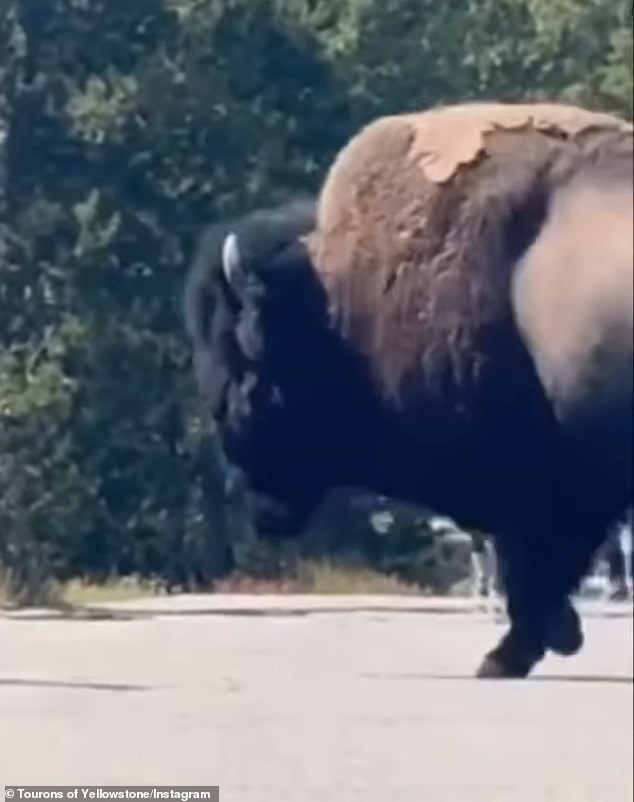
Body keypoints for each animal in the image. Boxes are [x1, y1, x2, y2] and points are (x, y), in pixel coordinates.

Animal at [185, 100, 628, 676]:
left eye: (237, 353)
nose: (250, 492)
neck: (337, 306)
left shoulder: (534, 481)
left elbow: (531, 567)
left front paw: (507, 656)